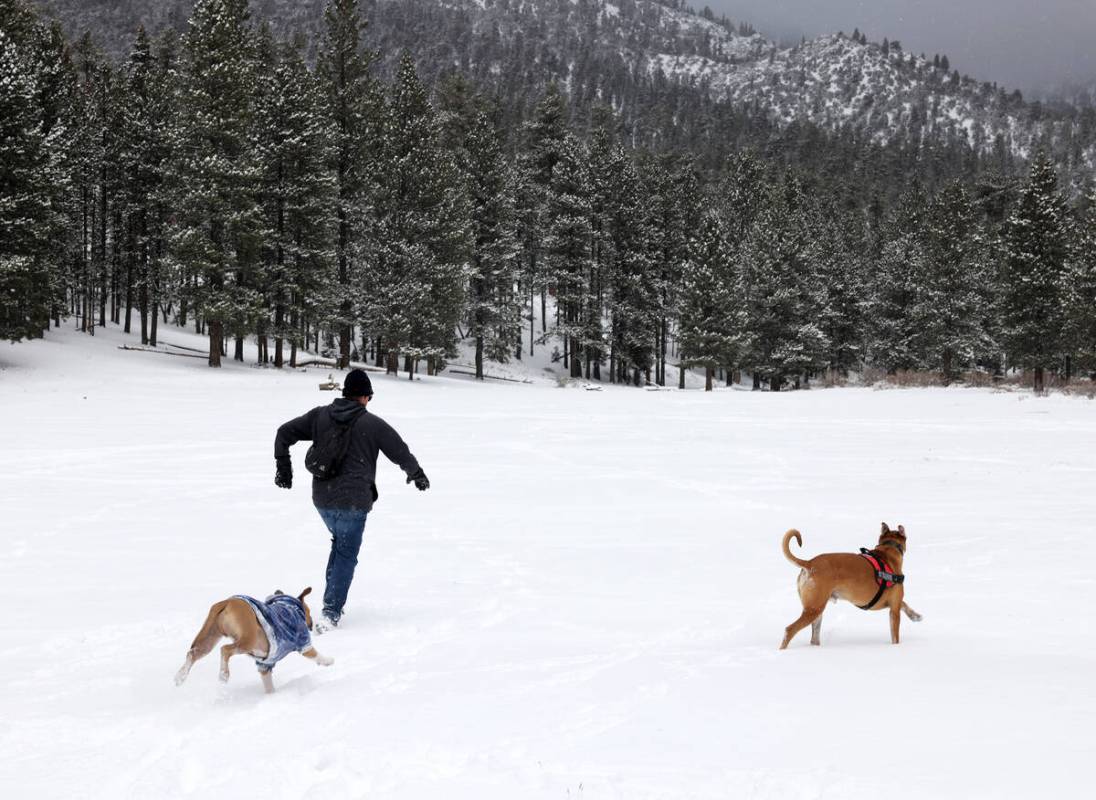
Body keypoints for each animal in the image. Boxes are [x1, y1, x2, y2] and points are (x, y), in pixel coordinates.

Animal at [170, 587, 330, 692]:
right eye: (309, 611)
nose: (312, 624)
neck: (291, 607)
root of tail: (227, 602)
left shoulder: (264, 664)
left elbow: (268, 683)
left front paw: (271, 696)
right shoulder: (303, 643)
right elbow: (315, 654)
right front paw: (328, 661)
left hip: (210, 638)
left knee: (193, 654)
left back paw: (180, 677)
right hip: (248, 640)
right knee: (225, 649)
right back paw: (223, 675)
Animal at [780, 523, 925, 648]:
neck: (887, 550)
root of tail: (810, 563)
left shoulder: (893, 602)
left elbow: (904, 604)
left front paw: (915, 616)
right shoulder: (894, 609)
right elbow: (895, 634)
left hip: (816, 611)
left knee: (813, 637)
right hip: (813, 609)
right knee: (789, 630)